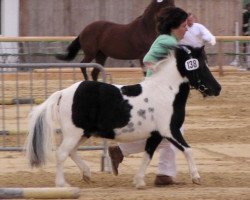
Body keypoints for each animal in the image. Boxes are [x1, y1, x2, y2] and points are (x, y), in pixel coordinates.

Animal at [24, 44, 221, 188]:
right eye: (202, 66)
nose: (217, 88)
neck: (166, 91)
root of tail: (63, 93)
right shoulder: (170, 131)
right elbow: (188, 149)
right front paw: (196, 177)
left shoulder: (156, 135)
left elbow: (148, 155)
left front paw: (139, 182)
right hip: (75, 133)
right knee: (62, 153)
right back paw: (62, 184)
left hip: (83, 133)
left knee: (71, 152)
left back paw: (87, 174)